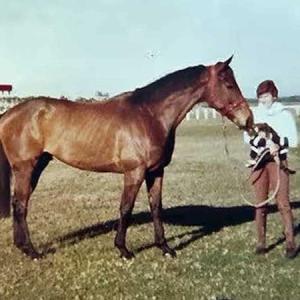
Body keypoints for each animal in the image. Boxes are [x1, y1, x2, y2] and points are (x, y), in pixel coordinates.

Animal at [0, 56, 253, 258]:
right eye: (229, 84)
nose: (248, 119)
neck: (149, 115)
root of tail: (9, 114)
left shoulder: (156, 171)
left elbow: (156, 207)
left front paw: (165, 248)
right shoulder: (134, 172)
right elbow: (126, 208)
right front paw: (123, 249)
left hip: (37, 166)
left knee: (18, 202)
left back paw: (22, 246)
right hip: (26, 168)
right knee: (20, 205)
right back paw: (32, 251)